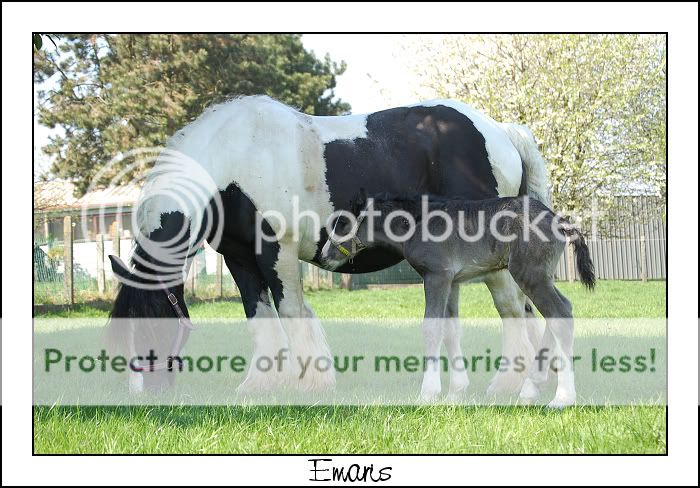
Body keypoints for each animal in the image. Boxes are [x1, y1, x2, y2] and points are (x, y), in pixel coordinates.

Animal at [108, 94, 552, 392]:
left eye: (148, 327)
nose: (146, 398)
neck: (236, 158)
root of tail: (502, 132)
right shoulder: (239, 258)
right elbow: (259, 315)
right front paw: (258, 387)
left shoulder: (279, 252)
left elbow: (291, 311)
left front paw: (311, 384)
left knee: (511, 308)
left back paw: (507, 386)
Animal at [320, 193, 592, 406]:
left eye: (343, 224)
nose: (324, 256)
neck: (418, 223)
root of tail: (558, 220)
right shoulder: (452, 282)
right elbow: (450, 330)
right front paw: (455, 392)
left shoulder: (437, 276)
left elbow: (431, 329)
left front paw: (427, 393)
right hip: (540, 277)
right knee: (561, 311)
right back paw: (532, 387)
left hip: (530, 275)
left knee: (559, 314)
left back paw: (562, 397)